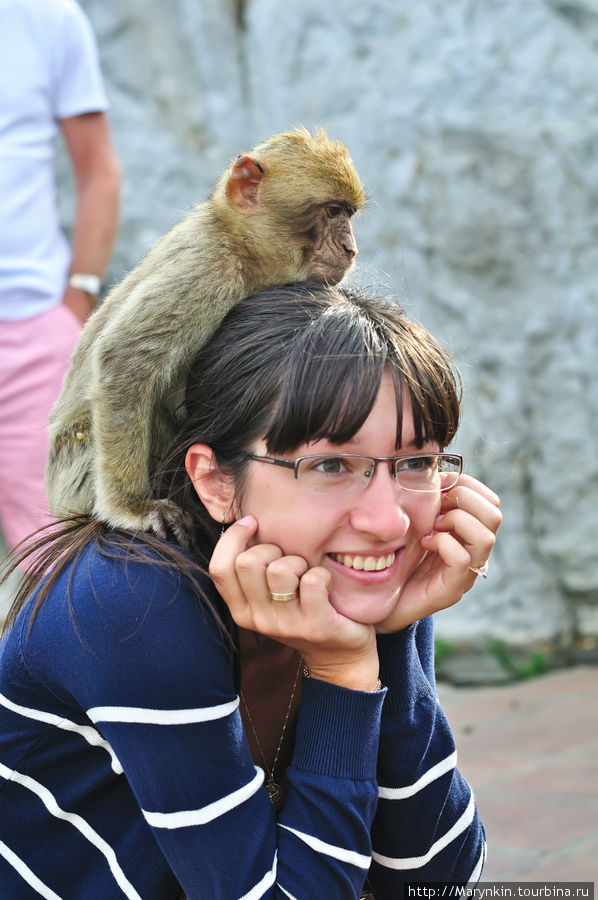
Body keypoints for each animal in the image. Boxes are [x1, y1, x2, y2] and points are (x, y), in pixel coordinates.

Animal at [47, 126, 368, 540]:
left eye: (348, 213)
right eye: (332, 211)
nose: (350, 248)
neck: (241, 246)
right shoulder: (209, 271)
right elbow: (124, 361)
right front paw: (133, 508)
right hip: (74, 468)